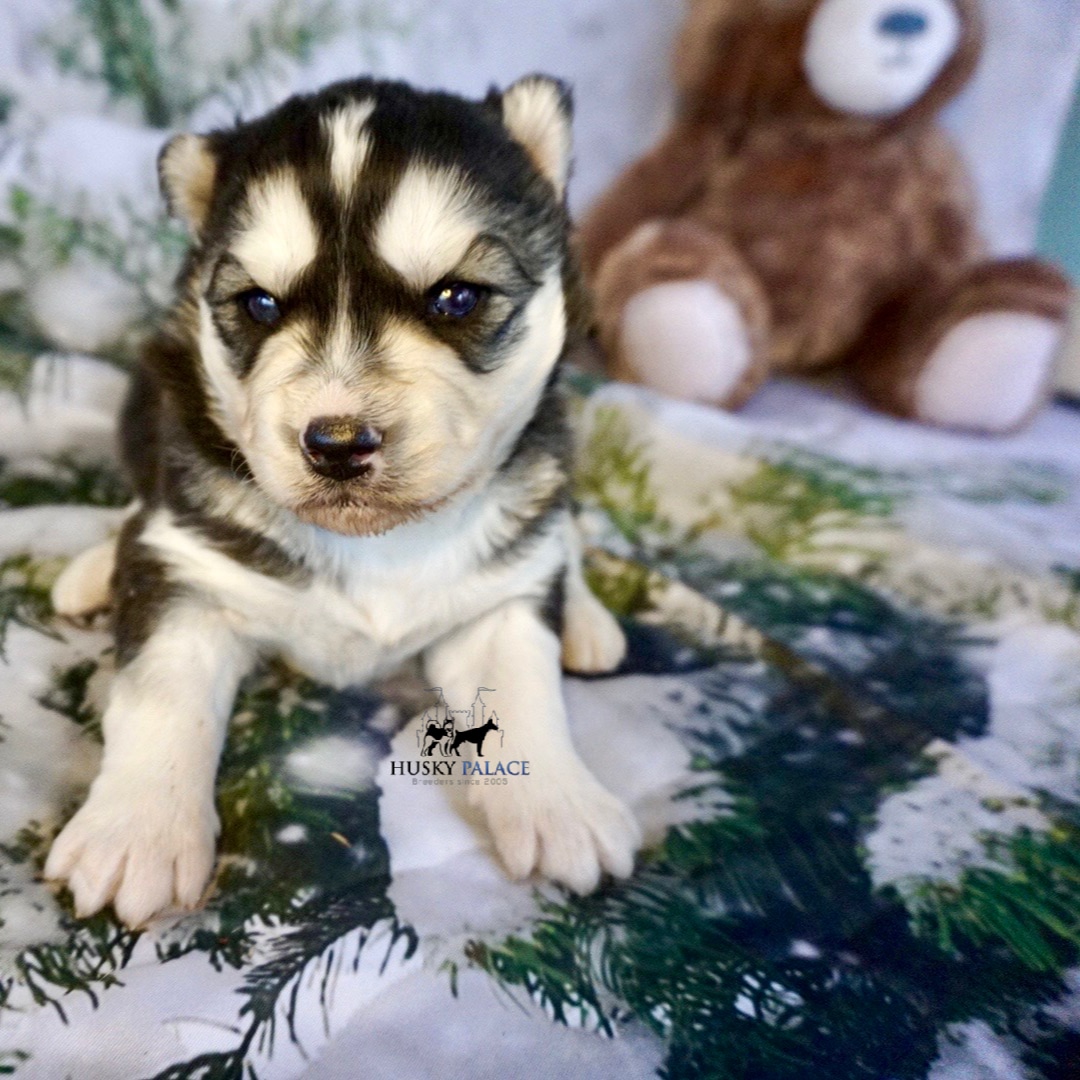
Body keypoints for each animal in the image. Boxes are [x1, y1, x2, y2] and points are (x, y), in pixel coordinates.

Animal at [50, 73, 635, 928]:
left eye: (457, 298)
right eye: (260, 305)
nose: (337, 443)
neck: (376, 545)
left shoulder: (496, 607)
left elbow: (526, 687)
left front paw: (563, 805)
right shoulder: (190, 575)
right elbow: (159, 693)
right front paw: (138, 831)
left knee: (560, 527)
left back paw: (585, 615)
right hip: (145, 392)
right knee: (138, 499)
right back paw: (97, 565)